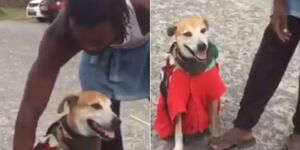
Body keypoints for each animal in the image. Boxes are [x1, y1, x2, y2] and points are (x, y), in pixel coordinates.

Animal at [155, 16, 227, 150]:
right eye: (187, 34)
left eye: (203, 30)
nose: (202, 46)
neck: (194, 68)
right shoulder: (177, 101)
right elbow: (178, 130)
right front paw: (178, 146)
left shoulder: (213, 97)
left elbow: (215, 123)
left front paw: (217, 139)